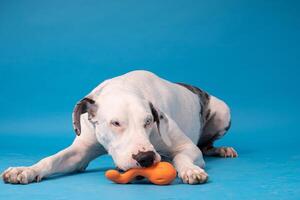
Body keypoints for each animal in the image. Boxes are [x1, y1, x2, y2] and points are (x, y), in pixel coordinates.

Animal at [1, 70, 237, 184]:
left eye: (148, 122)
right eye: (115, 123)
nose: (146, 158)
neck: (125, 87)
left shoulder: (186, 147)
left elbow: (182, 156)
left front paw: (190, 170)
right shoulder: (79, 154)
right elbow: (50, 160)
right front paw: (26, 170)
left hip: (223, 111)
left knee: (206, 145)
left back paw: (222, 149)